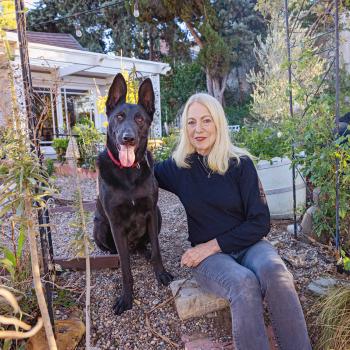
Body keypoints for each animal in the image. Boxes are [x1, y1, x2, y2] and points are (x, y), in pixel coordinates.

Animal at [93, 73, 174, 314]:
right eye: (119, 117)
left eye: (140, 120)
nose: (127, 138)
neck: (128, 173)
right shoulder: (115, 222)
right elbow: (126, 271)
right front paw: (126, 297)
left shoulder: (150, 212)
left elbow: (157, 251)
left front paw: (161, 274)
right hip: (99, 226)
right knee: (118, 252)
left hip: (158, 215)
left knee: (144, 245)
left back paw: (143, 251)